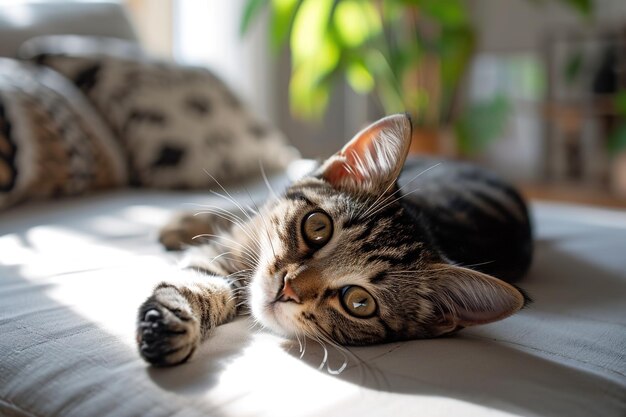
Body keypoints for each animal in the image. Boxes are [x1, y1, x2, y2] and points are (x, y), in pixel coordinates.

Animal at [134, 113, 528, 364]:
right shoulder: (233, 245)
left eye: (359, 302)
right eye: (317, 227)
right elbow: (200, 279)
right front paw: (167, 319)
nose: (287, 288)